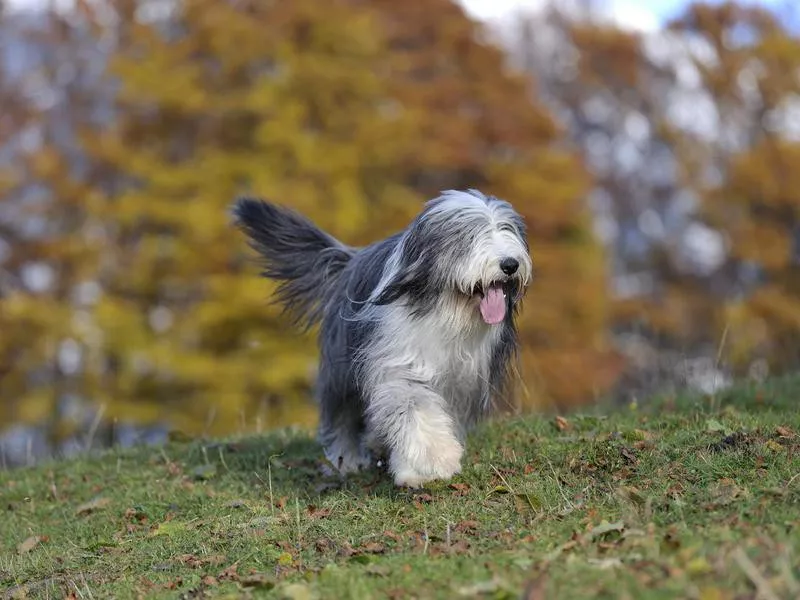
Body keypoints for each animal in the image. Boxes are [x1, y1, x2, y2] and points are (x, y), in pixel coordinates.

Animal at [231, 191, 536, 488]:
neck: (447, 314)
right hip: (342, 367)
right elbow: (413, 408)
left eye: (508, 229)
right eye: (469, 236)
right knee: (342, 413)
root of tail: (350, 259)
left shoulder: (464, 381)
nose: (510, 264)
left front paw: (413, 470)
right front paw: (437, 457)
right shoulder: (398, 361)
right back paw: (346, 459)